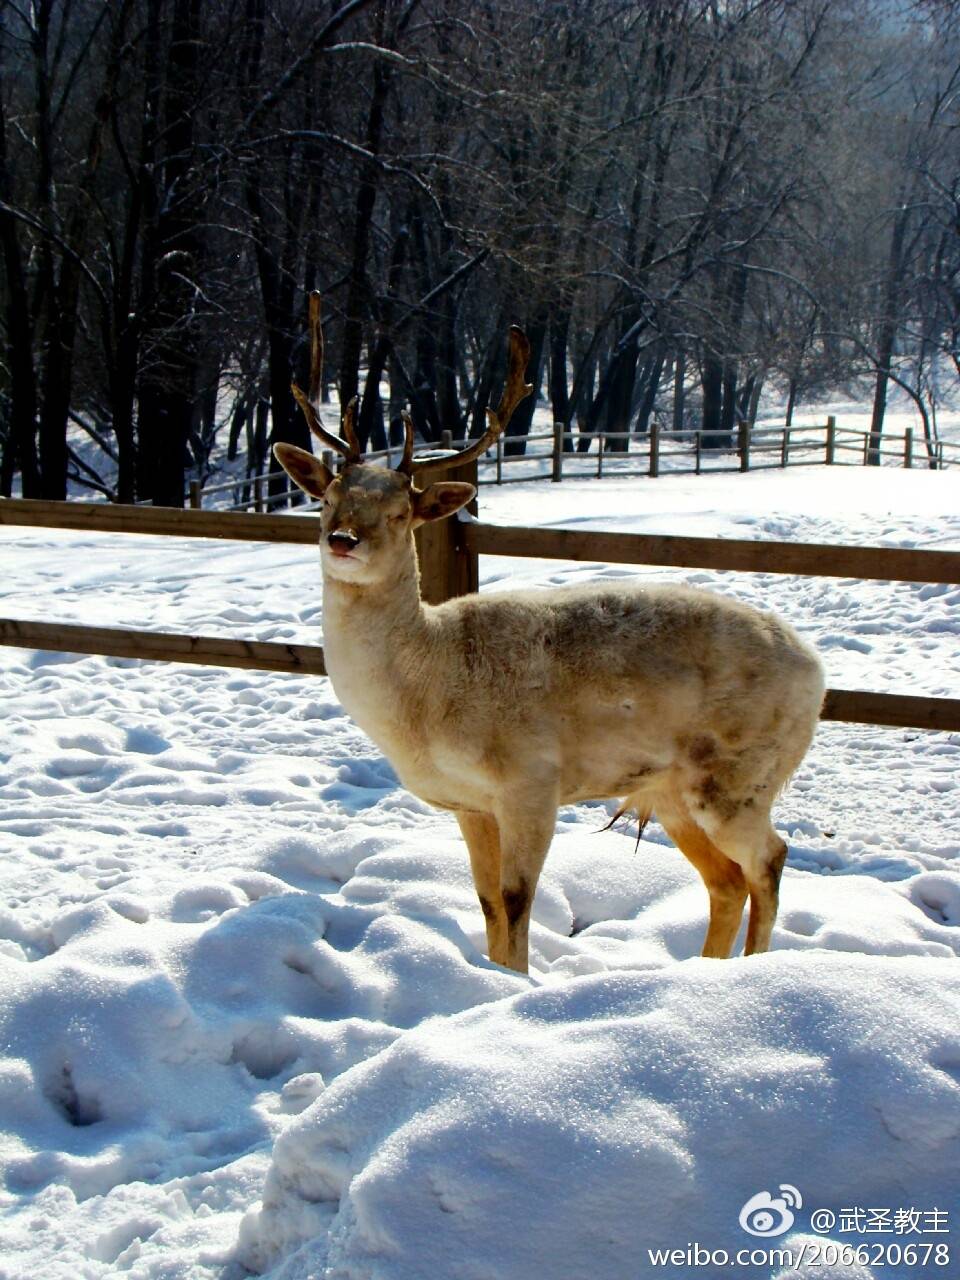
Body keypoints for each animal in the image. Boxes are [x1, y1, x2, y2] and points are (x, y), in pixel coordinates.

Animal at [272, 302, 829, 977]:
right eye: (326, 498)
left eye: (403, 513)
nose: (344, 540)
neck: (423, 703)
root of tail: (819, 671)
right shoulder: (470, 802)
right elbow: (486, 901)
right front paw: (494, 975)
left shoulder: (531, 779)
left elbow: (517, 899)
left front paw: (515, 983)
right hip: (671, 790)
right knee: (725, 881)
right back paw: (708, 971)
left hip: (741, 775)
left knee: (770, 859)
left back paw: (755, 968)